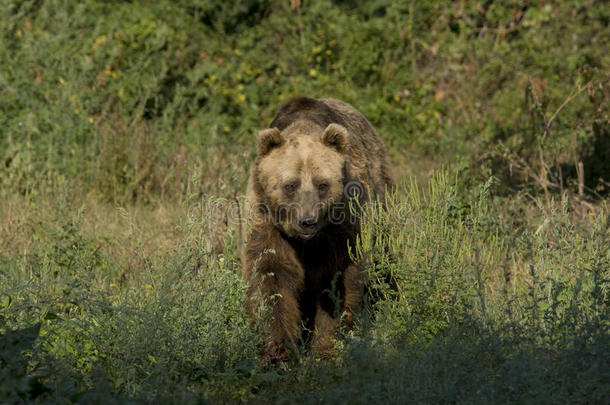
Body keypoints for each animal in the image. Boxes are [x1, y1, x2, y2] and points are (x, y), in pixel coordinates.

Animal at [240, 95, 392, 362]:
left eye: (322, 184)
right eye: (290, 185)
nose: (307, 221)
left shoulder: (343, 226)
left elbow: (337, 281)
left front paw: (325, 347)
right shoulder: (266, 218)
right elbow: (270, 276)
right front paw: (277, 351)